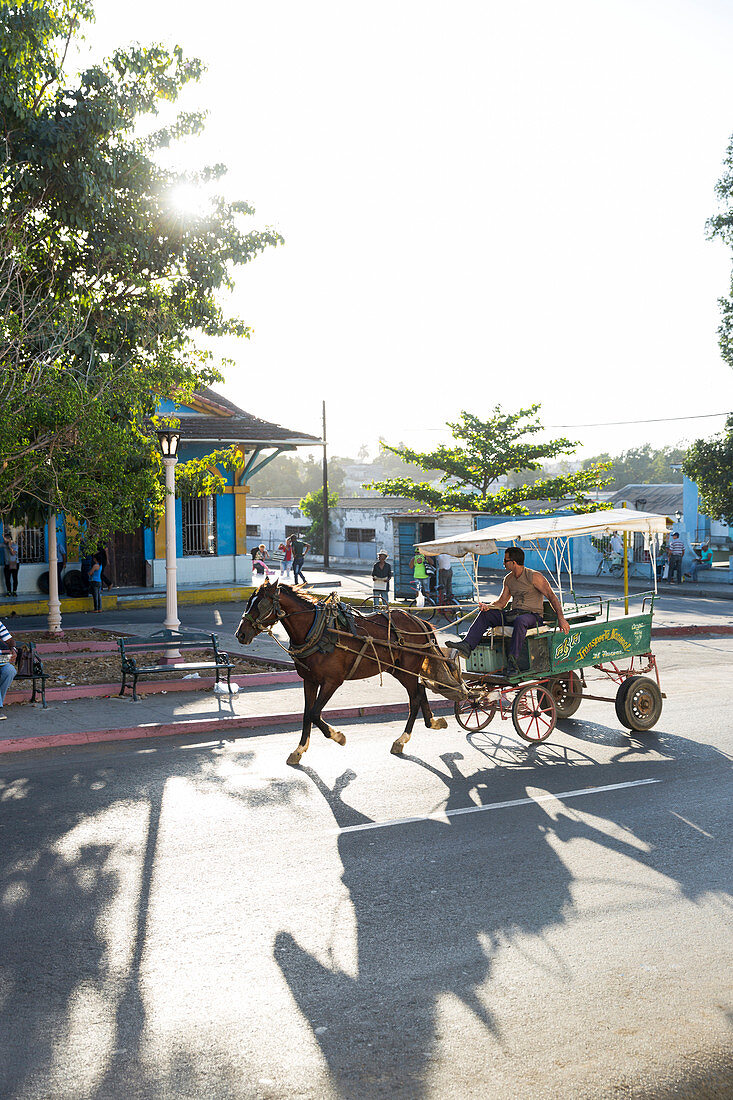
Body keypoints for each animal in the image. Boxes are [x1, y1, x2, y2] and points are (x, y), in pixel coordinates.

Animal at [236, 585, 449, 765]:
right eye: (249, 602)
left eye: (260, 604)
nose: (240, 634)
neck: (317, 630)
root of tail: (418, 621)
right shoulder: (309, 680)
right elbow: (306, 714)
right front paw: (299, 750)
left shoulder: (332, 681)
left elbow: (314, 713)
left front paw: (338, 736)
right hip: (398, 670)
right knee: (420, 690)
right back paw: (431, 722)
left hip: (408, 669)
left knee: (415, 698)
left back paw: (402, 739)